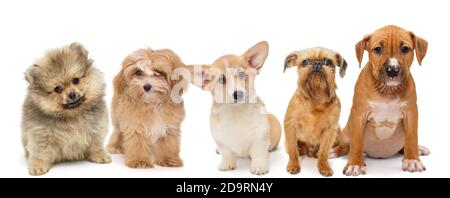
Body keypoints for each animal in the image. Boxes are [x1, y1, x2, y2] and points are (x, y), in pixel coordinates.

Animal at [21, 42, 111, 176]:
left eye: (76, 80)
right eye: (57, 89)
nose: (72, 94)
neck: (71, 115)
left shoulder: (96, 128)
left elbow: (96, 145)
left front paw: (100, 155)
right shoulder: (40, 134)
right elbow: (40, 153)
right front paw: (38, 166)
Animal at [187, 41, 280, 174]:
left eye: (241, 74)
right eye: (221, 79)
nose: (238, 93)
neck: (236, 111)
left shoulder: (259, 138)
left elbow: (258, 153)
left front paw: (259, 166)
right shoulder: (221, 140)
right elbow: (227, 153)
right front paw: (227, 163)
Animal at [284, 46, 348, 176]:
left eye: (328, 62)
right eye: (305, 62)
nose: (317, 64)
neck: (316, 97)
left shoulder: (331, 129)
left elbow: (323, 151)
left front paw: (324, 166)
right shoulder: (290, 125)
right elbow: (293, 149)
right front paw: (293, 165)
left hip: (338, 130)